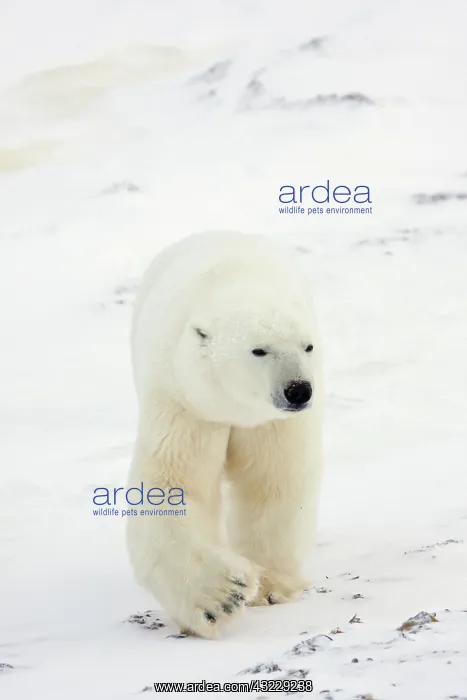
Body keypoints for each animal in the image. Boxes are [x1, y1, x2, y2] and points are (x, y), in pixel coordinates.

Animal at [126, 231, 323, 639]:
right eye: (259, 350)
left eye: (308, 346)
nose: (298, 390)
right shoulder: (185, 402)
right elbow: (172, 485)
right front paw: (224, 596)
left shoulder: (270, 423)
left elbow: (273, 481)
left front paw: (269, 587)